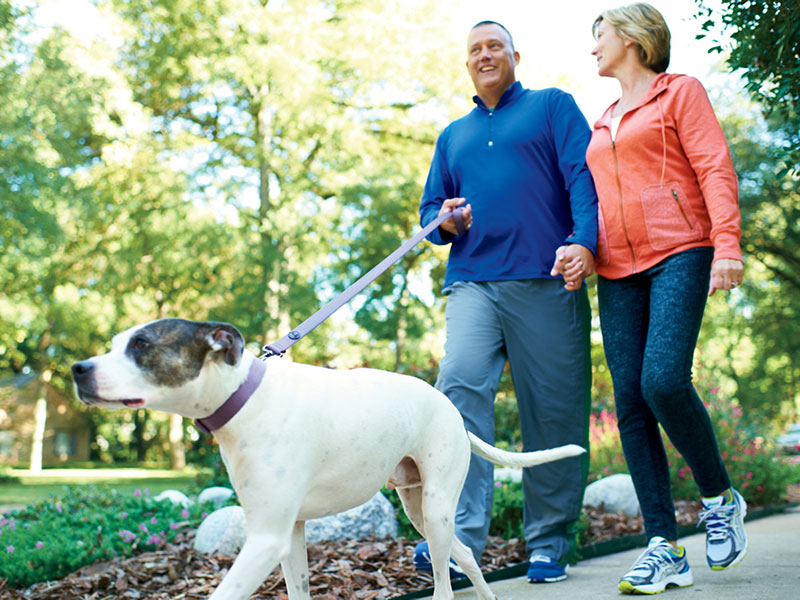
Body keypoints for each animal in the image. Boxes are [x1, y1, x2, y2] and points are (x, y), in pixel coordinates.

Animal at [72, 318, 584, 600]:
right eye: (115, 343)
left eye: (141, 345)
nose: (78, 369)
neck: (247, 398)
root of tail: (453, 412)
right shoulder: (290, 535)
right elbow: (298, 590)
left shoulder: (265, 540)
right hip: (422, 512)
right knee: (465, 556)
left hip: (437, 508)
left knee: (442, 584)